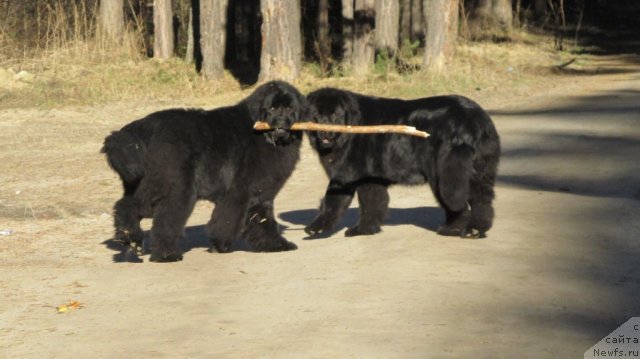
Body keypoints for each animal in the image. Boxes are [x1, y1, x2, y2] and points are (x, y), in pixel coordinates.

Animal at [102, 81, 304, 262]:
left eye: (290, 108)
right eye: (271, 108)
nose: (281, 123)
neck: (262, 135)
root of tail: (144, 127)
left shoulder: (261, 194)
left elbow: (263, 222)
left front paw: (275, 244)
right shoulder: (240, 191)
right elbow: (228, 220)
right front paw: (221, 245)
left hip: (144, 183)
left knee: (126, 205)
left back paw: (129, 236)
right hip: (176, 189)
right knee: (164, 222)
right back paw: (166, 255)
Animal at [304, 88, 500, 239]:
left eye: (335, 115)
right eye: (316, 115)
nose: (325, 132)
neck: (350, 131)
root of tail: (471, 121)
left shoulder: (347, 175)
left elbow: (336, 201)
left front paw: (317, 228)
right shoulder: (370, 179)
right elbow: (373, 203)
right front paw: (366, 229)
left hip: (443, 174)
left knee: (457, 203)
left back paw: (455, 229)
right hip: (480, 170)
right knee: (482, 201)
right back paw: (472, 229)